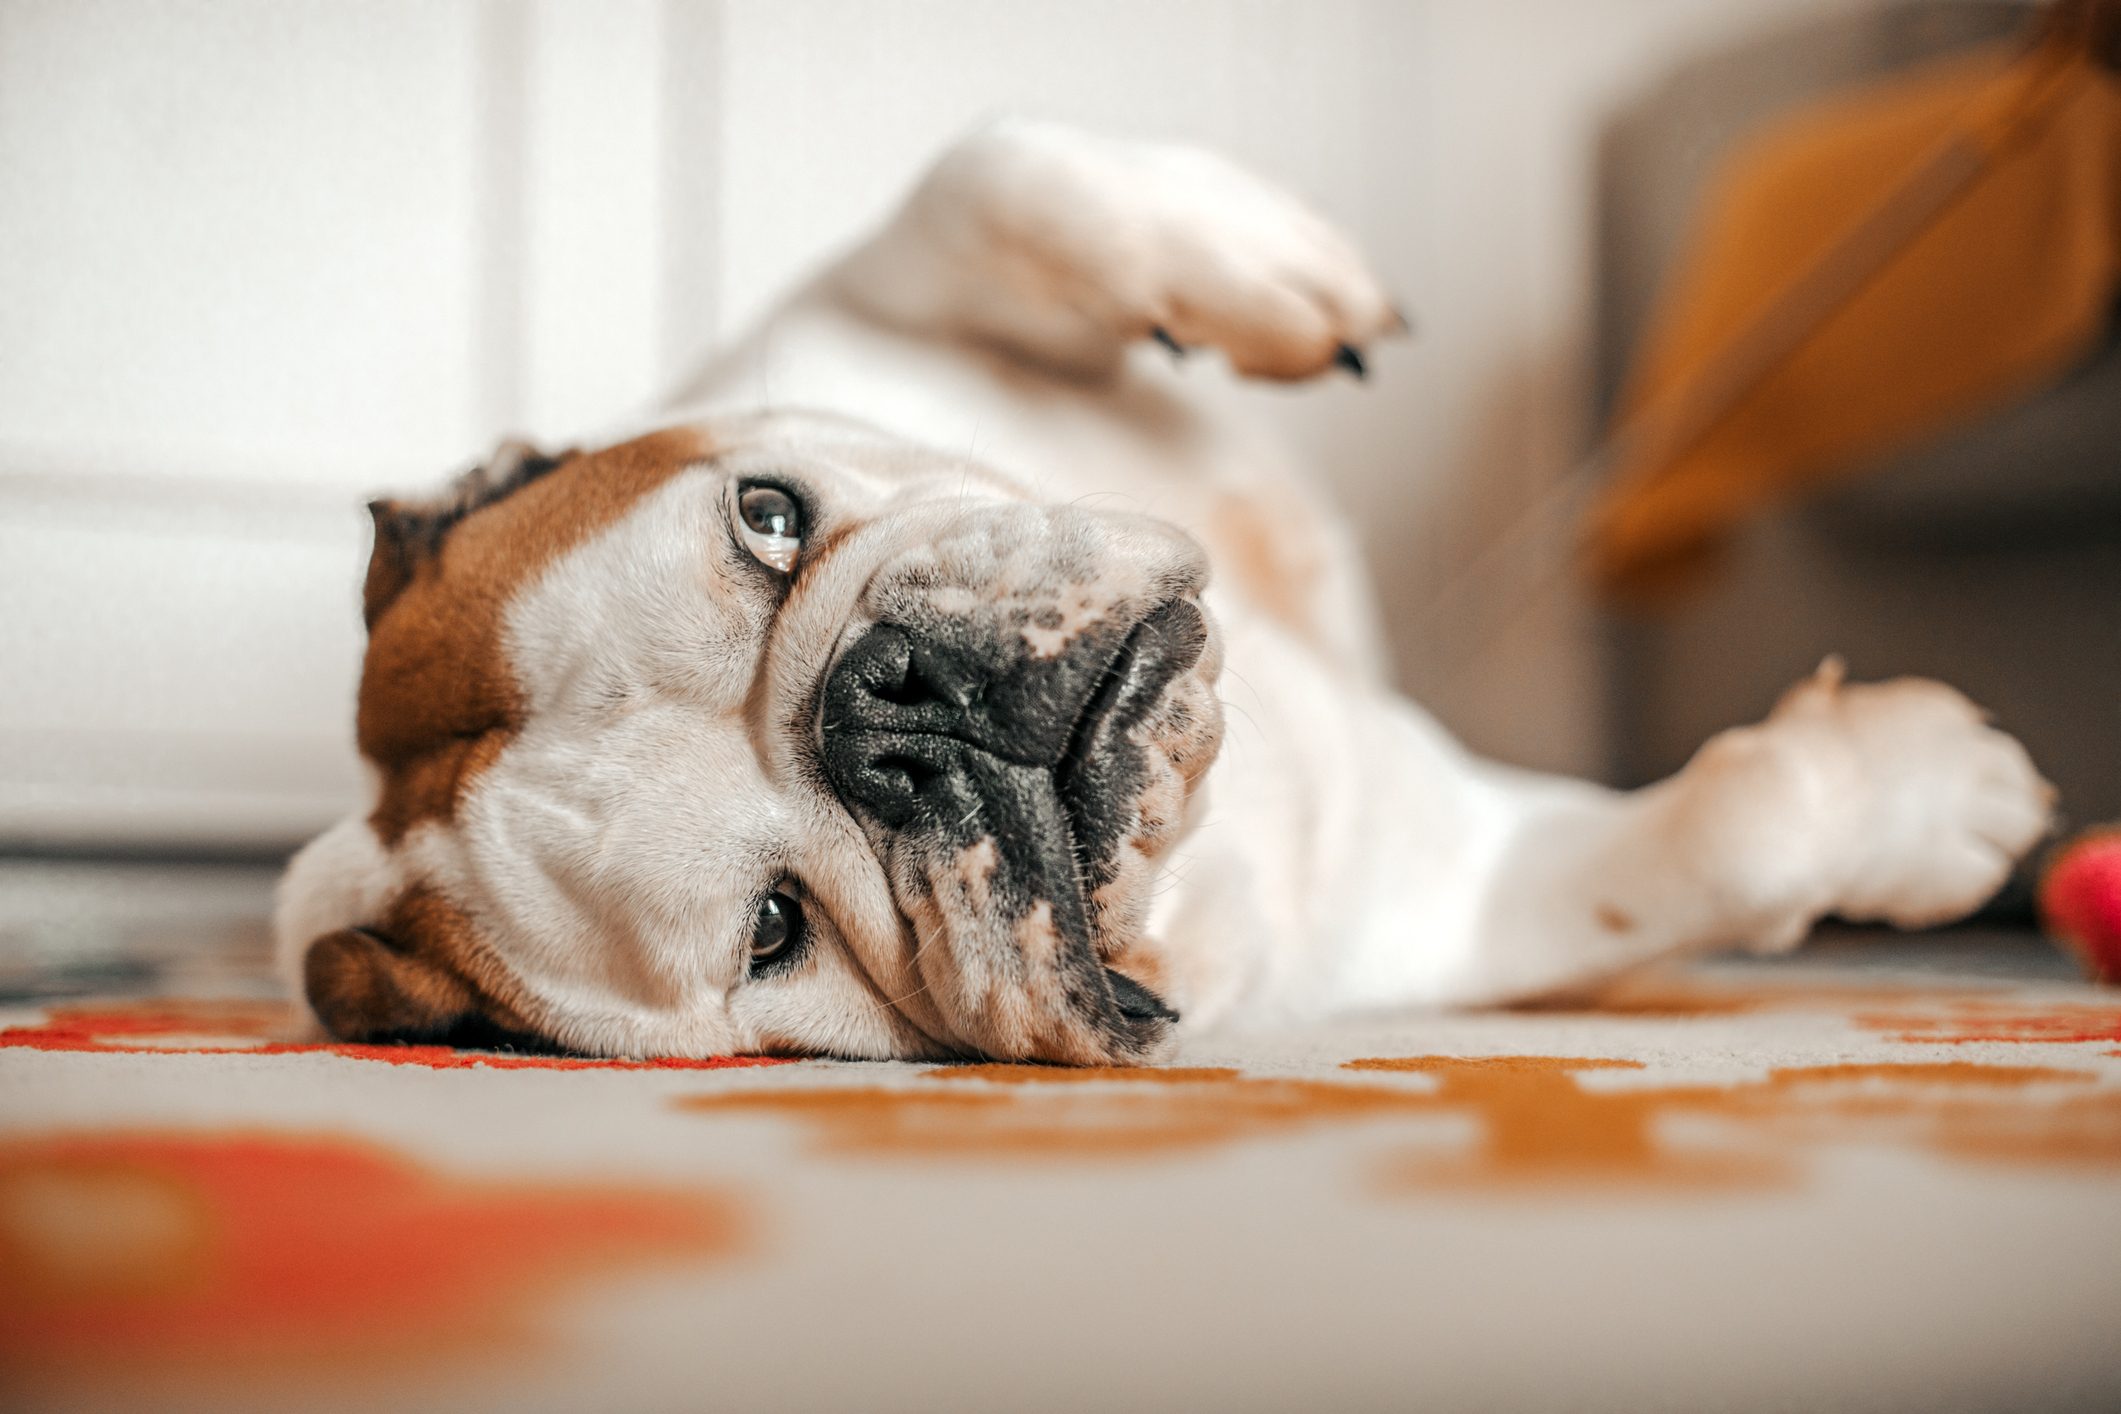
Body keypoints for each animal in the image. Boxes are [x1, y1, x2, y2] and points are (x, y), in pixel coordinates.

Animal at [277, 121, 2053, 1068]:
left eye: (767, 518)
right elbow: (1723, 840)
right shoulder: (1452, 900)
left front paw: (1268, 271)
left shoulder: (850, 311)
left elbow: (986, 175)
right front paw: (1932, 796)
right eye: (776, 930)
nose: (894, 715)